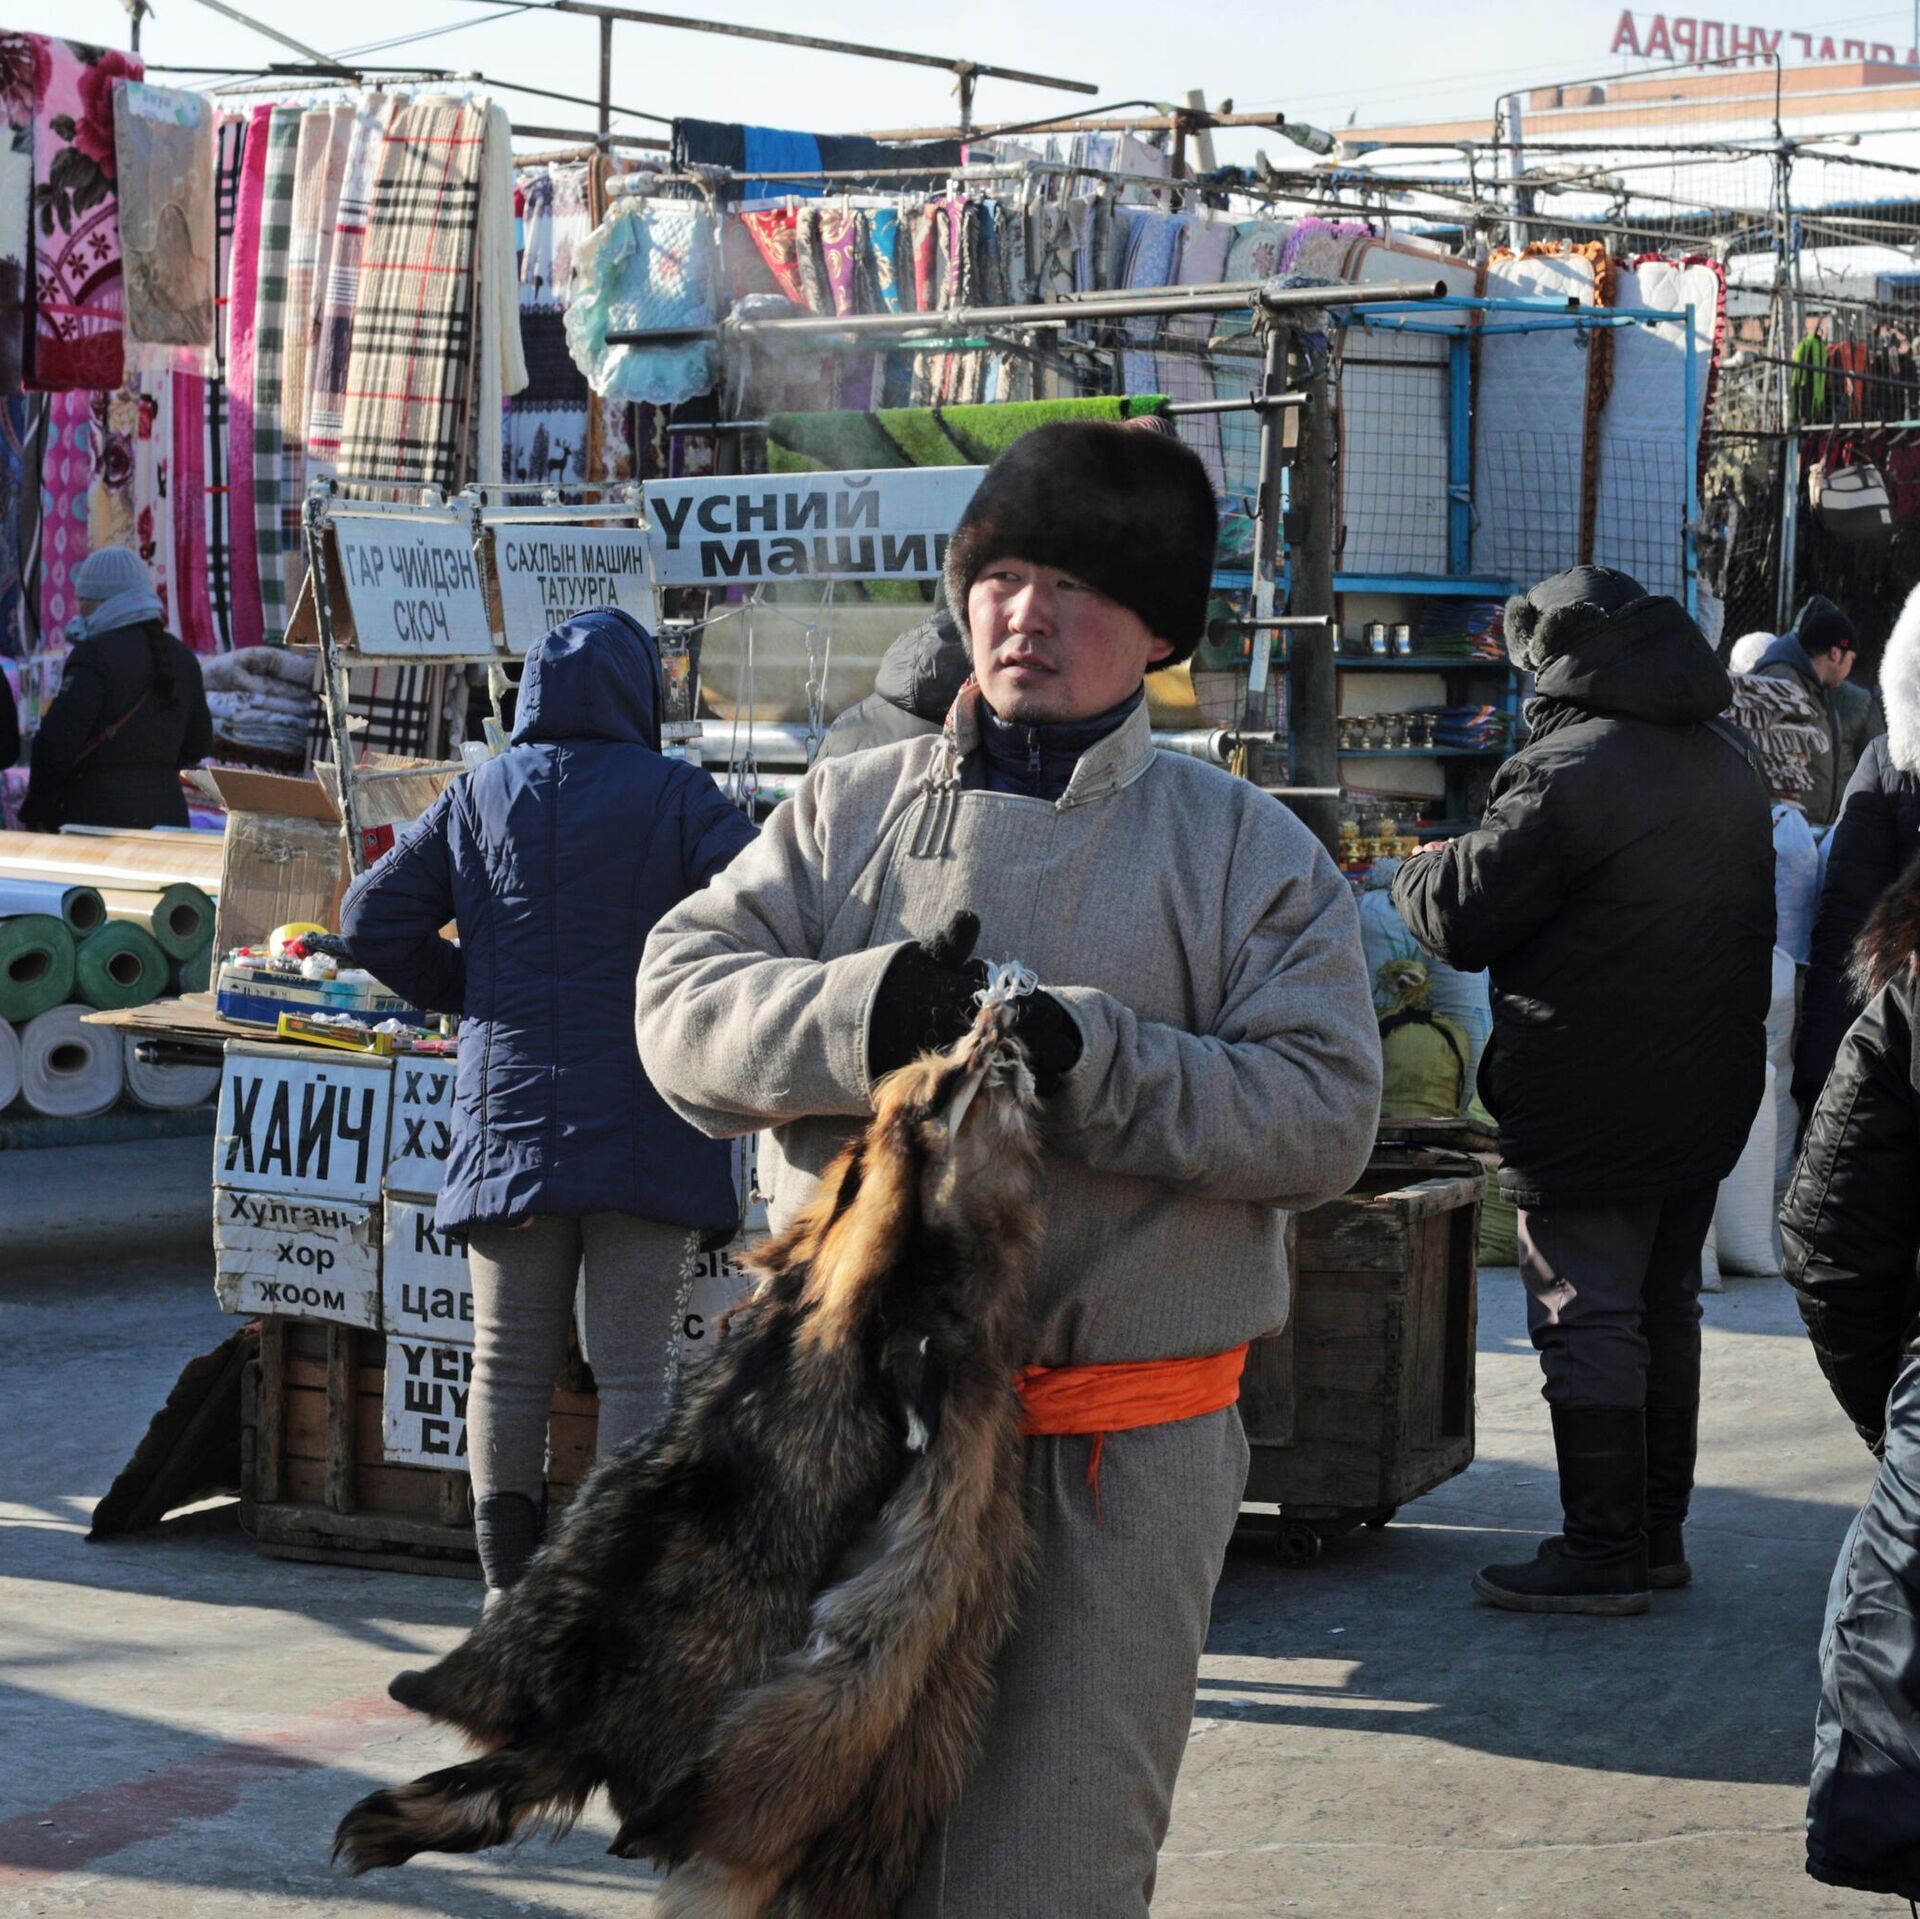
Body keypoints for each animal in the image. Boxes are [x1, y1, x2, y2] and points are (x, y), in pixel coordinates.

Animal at [335, 997, 1043, 1917]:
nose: (1006, 1011)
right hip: (585, 1583)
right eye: (958, 1059)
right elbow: (860, 1222)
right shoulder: (849, 1269)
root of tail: (583, 1732)